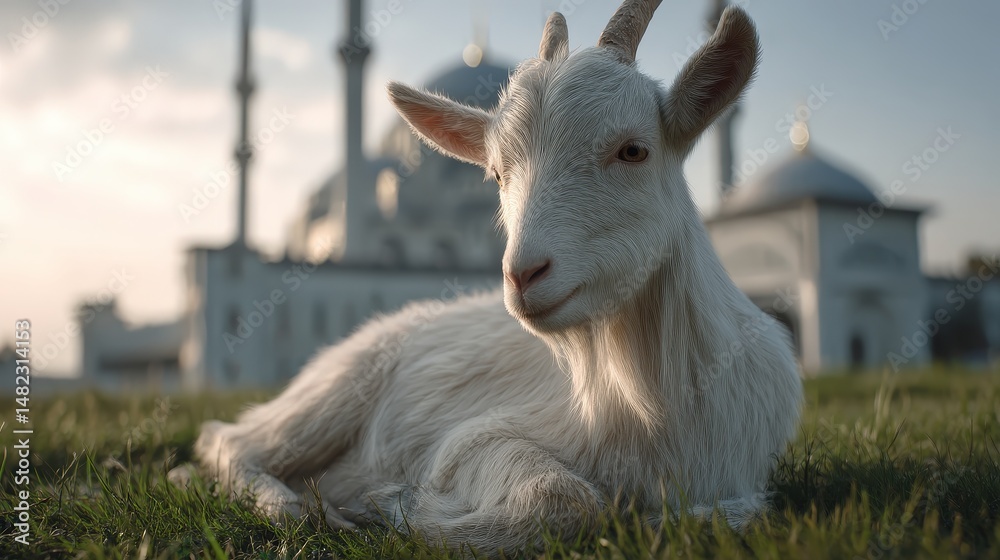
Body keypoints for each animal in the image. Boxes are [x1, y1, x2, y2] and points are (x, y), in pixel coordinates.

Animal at [174, 1, 802, 555]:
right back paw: (288, 503)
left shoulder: (743, 478)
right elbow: (565, 498)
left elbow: (745, 514)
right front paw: (396, 507)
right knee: (230, 439)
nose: (523, 275)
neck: (657, 411)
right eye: (497, 173)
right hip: (333, 391)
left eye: (633, 150)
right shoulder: (472, 438)